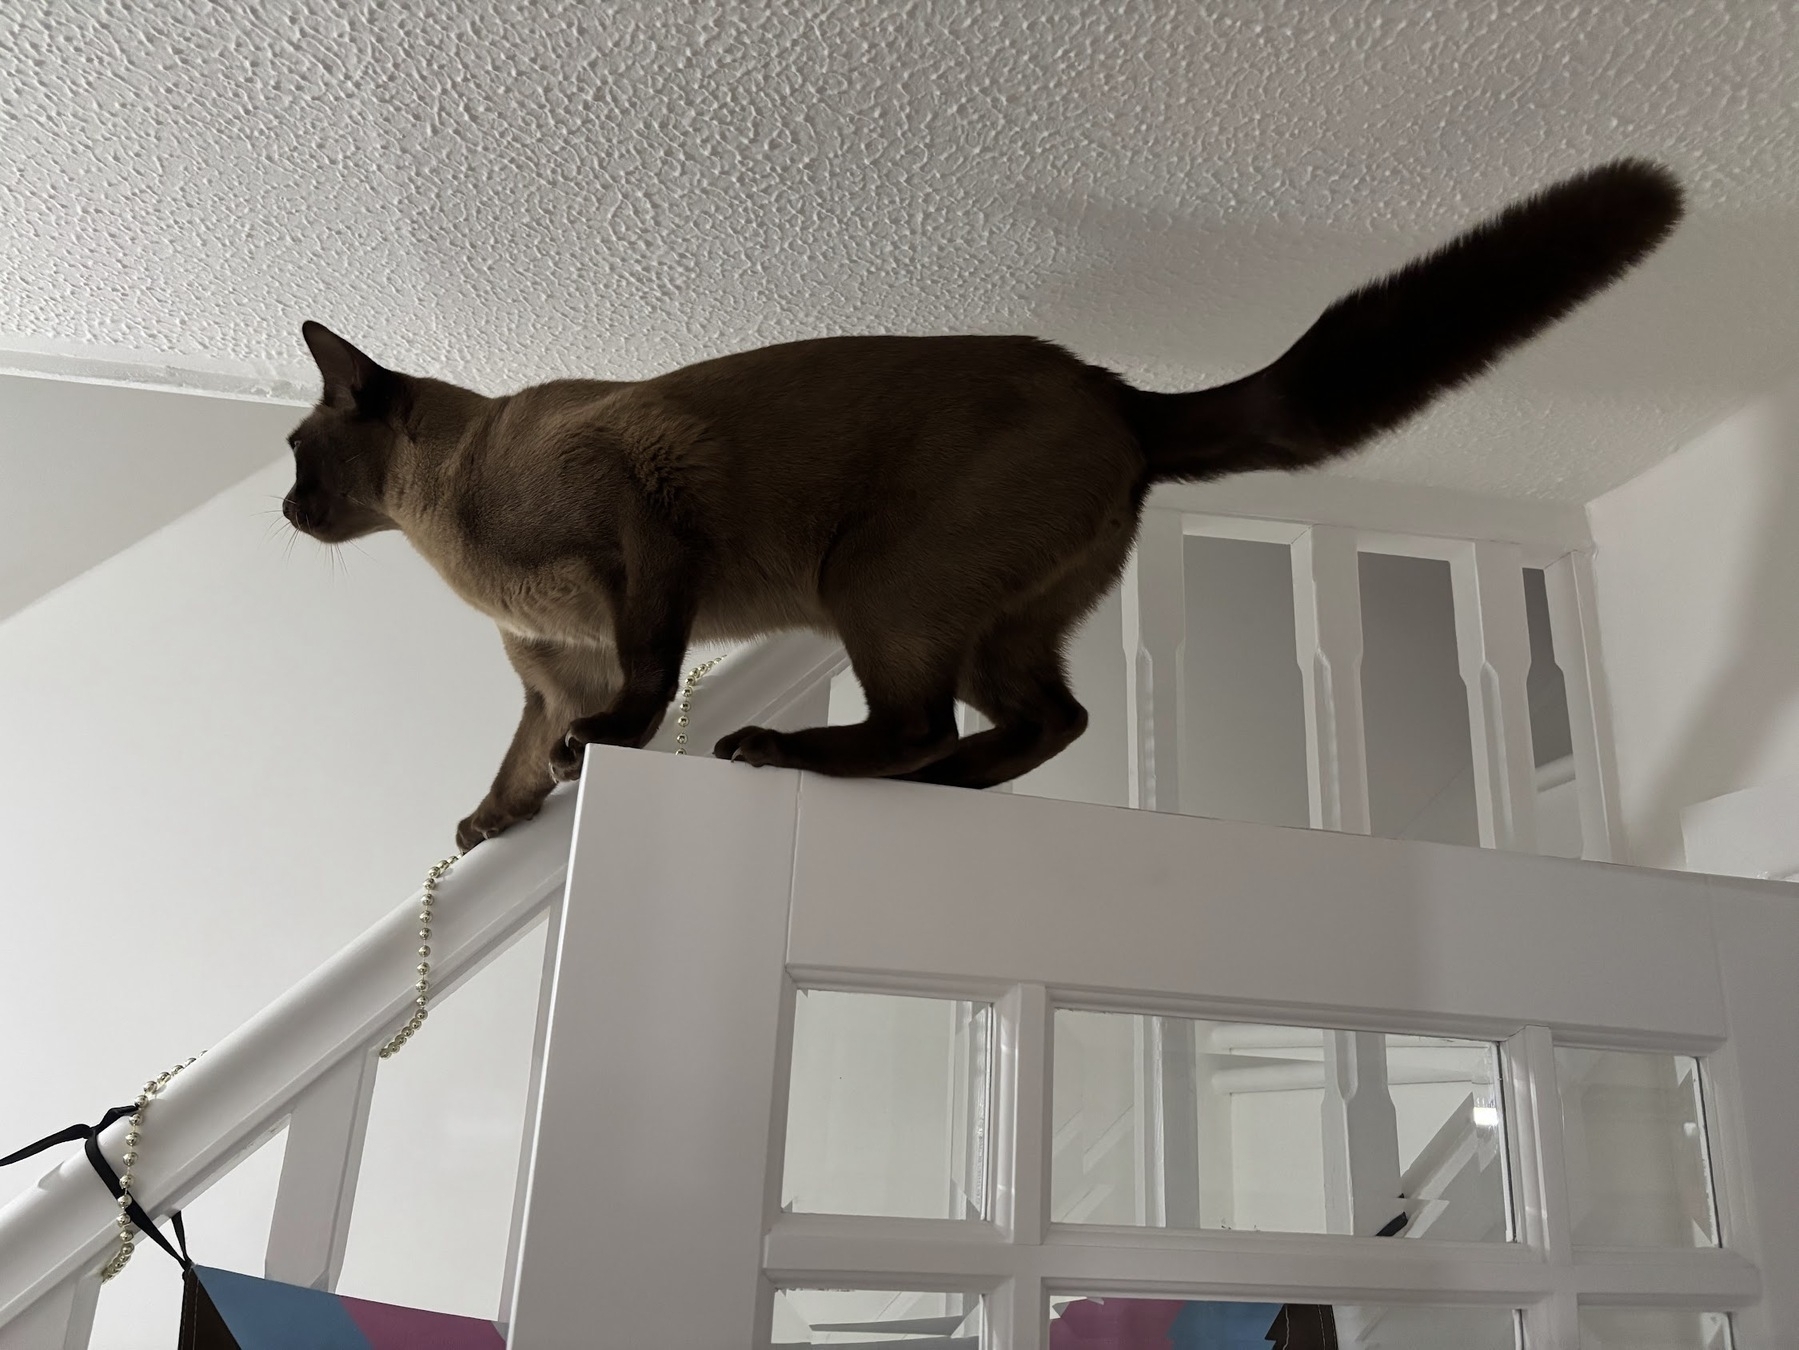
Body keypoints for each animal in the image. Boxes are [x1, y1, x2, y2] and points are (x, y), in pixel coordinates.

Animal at [277, 163, 1669, 849]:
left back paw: (783, 752)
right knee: (1041, 719)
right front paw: (488, 825)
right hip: (995, 619)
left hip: (871, 584)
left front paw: (604, 754)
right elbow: (521, 755)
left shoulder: (641, 548)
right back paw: (949, 792)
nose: (284, 515)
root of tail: (1116, 391)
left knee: (916, 722)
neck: (448, 534)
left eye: (295, 451)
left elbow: (637, 691)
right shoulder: (549, 666)